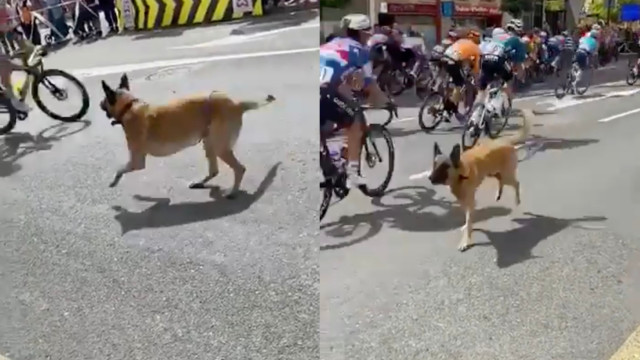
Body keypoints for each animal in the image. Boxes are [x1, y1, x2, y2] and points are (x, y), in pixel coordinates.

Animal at [99, 73, 274, 197]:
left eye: (104, 100)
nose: (99, 104)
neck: (129, 106)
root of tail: (237, 103)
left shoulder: (137, 162)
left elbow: (120, 170)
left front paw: (114, 182)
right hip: (209, 144)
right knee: (214, 170)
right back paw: (200, 183)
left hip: (219, 147)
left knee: (240, 169)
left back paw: (233, 192)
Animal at [412, 108, 532, 252]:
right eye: (434, 165)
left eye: (445, 167)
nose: (430, 178)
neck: (460, 173)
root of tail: (506, 141)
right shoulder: (463, 201)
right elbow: (467, 219)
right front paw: (467, 228)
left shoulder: (469, 201)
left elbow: (469, 220)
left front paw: (465, 240)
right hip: (494, 173)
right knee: (501, 181)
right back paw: (498, 194)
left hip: (506, 174)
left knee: (516, 183)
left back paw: (517, 201)